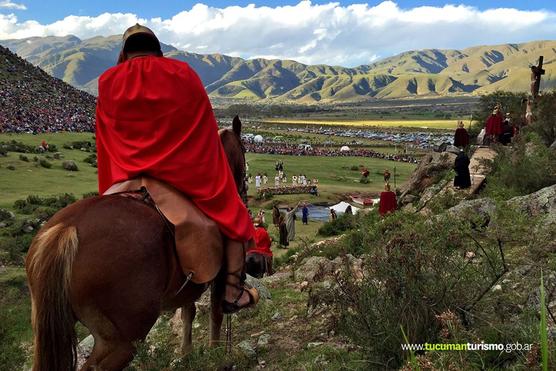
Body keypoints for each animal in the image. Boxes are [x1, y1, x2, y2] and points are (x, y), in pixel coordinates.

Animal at [25, 120, 248, 370]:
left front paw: (186, 352)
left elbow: (188, 312)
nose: (243, 193)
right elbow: (216, 313)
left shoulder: (192, 277)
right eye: (244, 149)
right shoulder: (217, 274)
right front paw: (216, 352)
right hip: (124, 340)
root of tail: (67, 229)